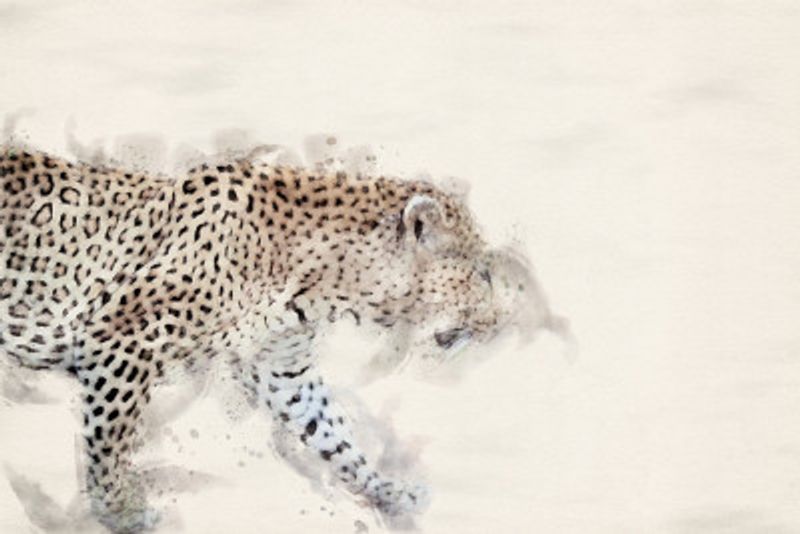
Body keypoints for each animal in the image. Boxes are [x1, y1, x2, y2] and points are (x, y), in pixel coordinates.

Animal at [0, 143, 564, 532]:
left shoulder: (282, 367)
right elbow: (109, 440)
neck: (320, 277)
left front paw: (387, 492)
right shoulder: (121, 338)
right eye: (481, 274)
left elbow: (334, 434)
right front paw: (120, 512)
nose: (500, 321)